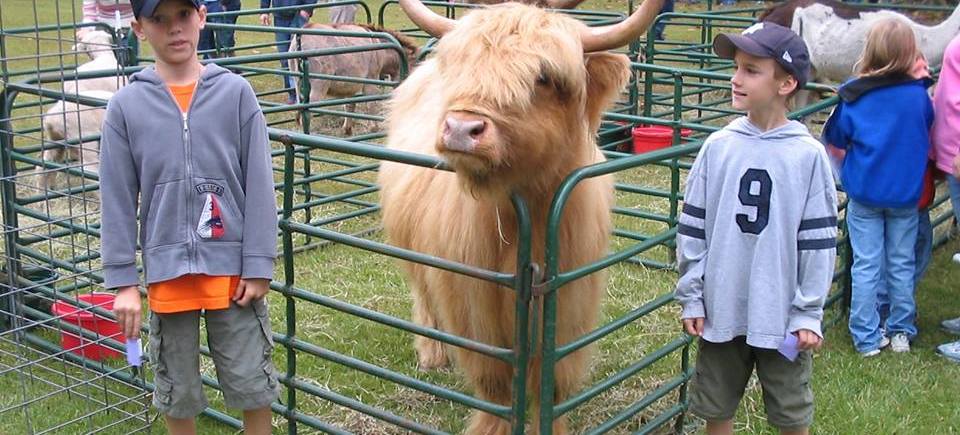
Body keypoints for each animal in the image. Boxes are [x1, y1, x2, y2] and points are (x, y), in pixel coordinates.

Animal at [288, 23, 419, 136]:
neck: (381, 50)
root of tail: (301, 39)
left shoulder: (350, 85)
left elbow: (350, 105)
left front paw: (348, 129)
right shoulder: (370, 81)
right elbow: (371, 104)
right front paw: (374, 128)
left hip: (297, 84)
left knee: (299, 110)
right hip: (319, 86)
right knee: (306, 112)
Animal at [378, 0, 663, 433]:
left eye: (543, 76)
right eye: (460, 64)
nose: (461, 129)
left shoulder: (570, 300)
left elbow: (554, 383)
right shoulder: (473, 302)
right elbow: (495, 384)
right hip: (414, 252)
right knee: (423, 294)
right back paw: (432, 353)